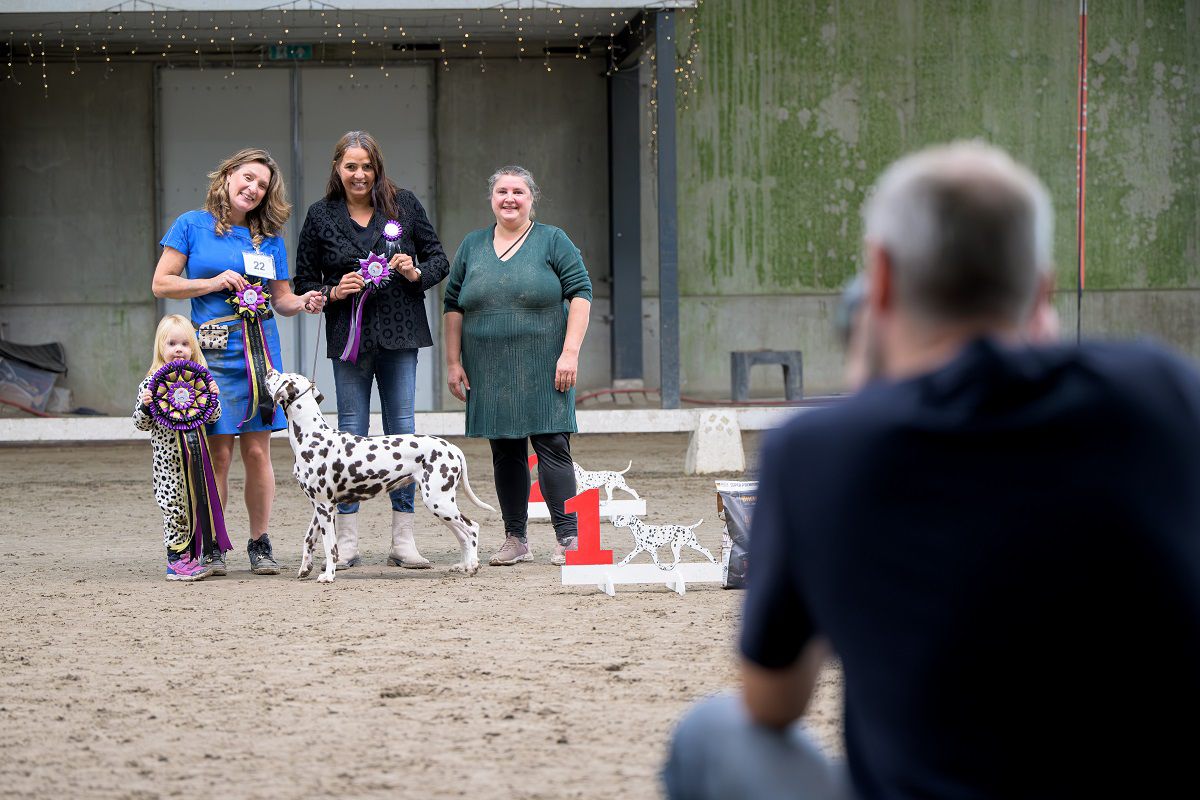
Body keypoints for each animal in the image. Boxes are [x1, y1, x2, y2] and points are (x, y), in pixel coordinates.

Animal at [265, 369, 494, 582]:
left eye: (281, 377)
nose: (269, 371)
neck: (312, 435)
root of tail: (453, 448)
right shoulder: (319, 506)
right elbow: (308, 540)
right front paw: (305, 568)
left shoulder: (325, 506)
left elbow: (330, 547)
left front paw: (328, 575)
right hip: (442, 506)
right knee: (463, 535)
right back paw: (464, 566)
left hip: (439, 502)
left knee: (471, 529)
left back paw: (472, 566)